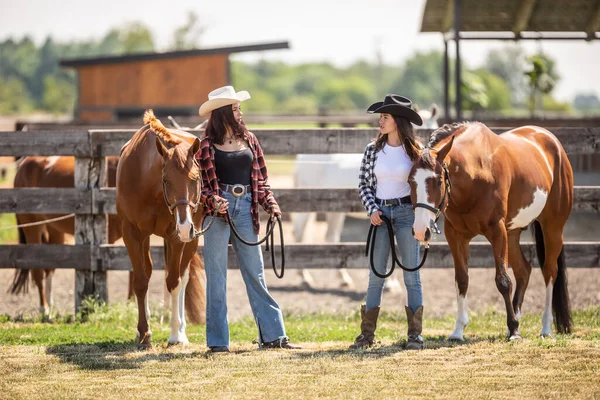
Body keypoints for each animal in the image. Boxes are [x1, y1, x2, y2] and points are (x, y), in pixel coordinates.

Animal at [7, 155, 206, 324]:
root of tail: (25, 163)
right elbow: (133, 271)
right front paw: (133, 305)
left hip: (55, 231)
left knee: (49, 269)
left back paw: (50, 308)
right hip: (32, 227)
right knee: (38, 272)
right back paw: (44, 310)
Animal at [116, 109, 205, 346]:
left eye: (196, 179)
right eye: (166, 180)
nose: (185, 226)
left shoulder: (176, 237)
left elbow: (173, 282)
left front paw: (175, 335)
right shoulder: (131, 234)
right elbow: (140, 281)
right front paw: (143, 332)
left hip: (191, 239)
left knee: (182, 278)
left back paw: (181, 331)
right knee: (147, 272)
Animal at [292, 104, 438, 290]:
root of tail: (302, 157)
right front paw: (389, 284)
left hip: (335, 212)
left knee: (330, 236)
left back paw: (343, 278)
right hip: (309, 206)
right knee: (299, 233)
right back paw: (304, 277)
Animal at [410, 122, 576, 340]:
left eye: (438, 181)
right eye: (410, 181)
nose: (421, 231)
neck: (476, 172)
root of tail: (552, 141)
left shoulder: (496, 231)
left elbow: (503, 281)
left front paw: (514, 331)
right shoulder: (455, 235)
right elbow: (462, 280)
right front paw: (458, 330)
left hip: (552, 227)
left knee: (549, 271)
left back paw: (545, 328)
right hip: (512, 233)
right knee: (524, 271)